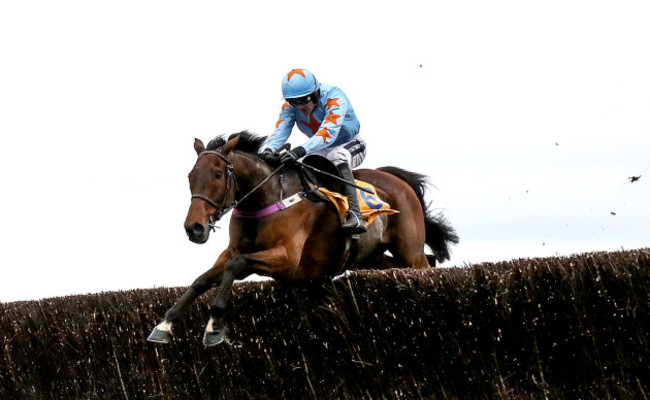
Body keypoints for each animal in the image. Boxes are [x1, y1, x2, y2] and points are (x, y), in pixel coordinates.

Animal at [147, 132, 456, 346]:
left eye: (218, 174)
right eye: (190, 176)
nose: (194, 228)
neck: (266, 197)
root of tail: (397, 178)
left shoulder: (287, 260)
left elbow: (235, 265)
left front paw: (213, 326)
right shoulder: (233, 251)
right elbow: (203, 278)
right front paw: (165, 324)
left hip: (409, 251)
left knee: (424, 266)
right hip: (373, 257)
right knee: (420, 262)